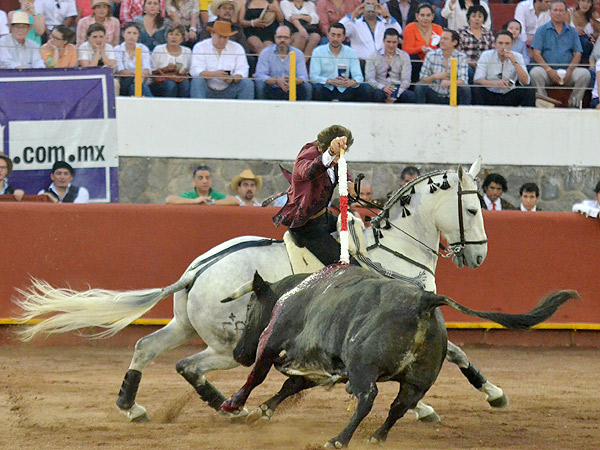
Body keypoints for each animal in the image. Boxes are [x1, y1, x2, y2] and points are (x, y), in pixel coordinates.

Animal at [15, 160, 502, 424]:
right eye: (473, 208)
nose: (479, 256)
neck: (394, 249)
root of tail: (198, 272)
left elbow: (448, 355)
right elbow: (452, 352)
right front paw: (485, 394)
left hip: (184, 324)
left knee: (147, 347)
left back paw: (133, 406)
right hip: (233, 346)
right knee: (189, 364)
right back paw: (231, 406)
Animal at [220, 266, 576, 448]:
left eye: (250, 308)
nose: (239, 353)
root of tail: (424, 300)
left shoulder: (272, 340)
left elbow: (259, 375)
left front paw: (235, 405)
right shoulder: (319, 366)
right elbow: (290, 386)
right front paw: (262, 412)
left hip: (362, 368)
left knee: (368, 398)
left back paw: (339, 439)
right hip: (418, 380)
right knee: (399, 405)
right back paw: (377, 437)